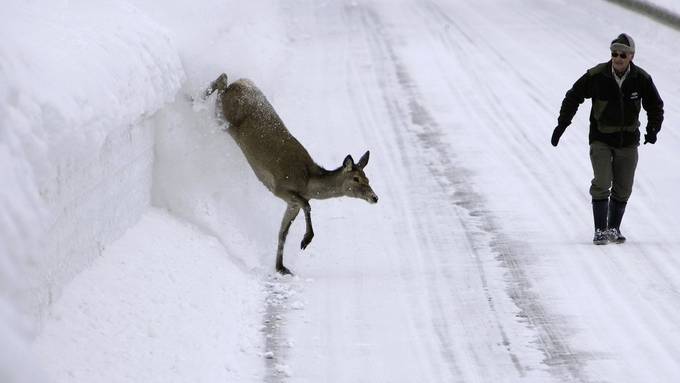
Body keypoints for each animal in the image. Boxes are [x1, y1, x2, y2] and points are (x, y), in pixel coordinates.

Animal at [205, 73, 380, 276]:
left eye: (368, 178)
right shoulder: (280, 187)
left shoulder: (291, 203)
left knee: (223, 78)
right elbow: (307, 205)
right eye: (356, 178)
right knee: (221, 82)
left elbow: (283, 232)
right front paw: (306, 239)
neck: (308, 182)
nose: (375, 197)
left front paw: (281, 267)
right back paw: (192, 99)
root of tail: (240, 83)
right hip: (222, 115)